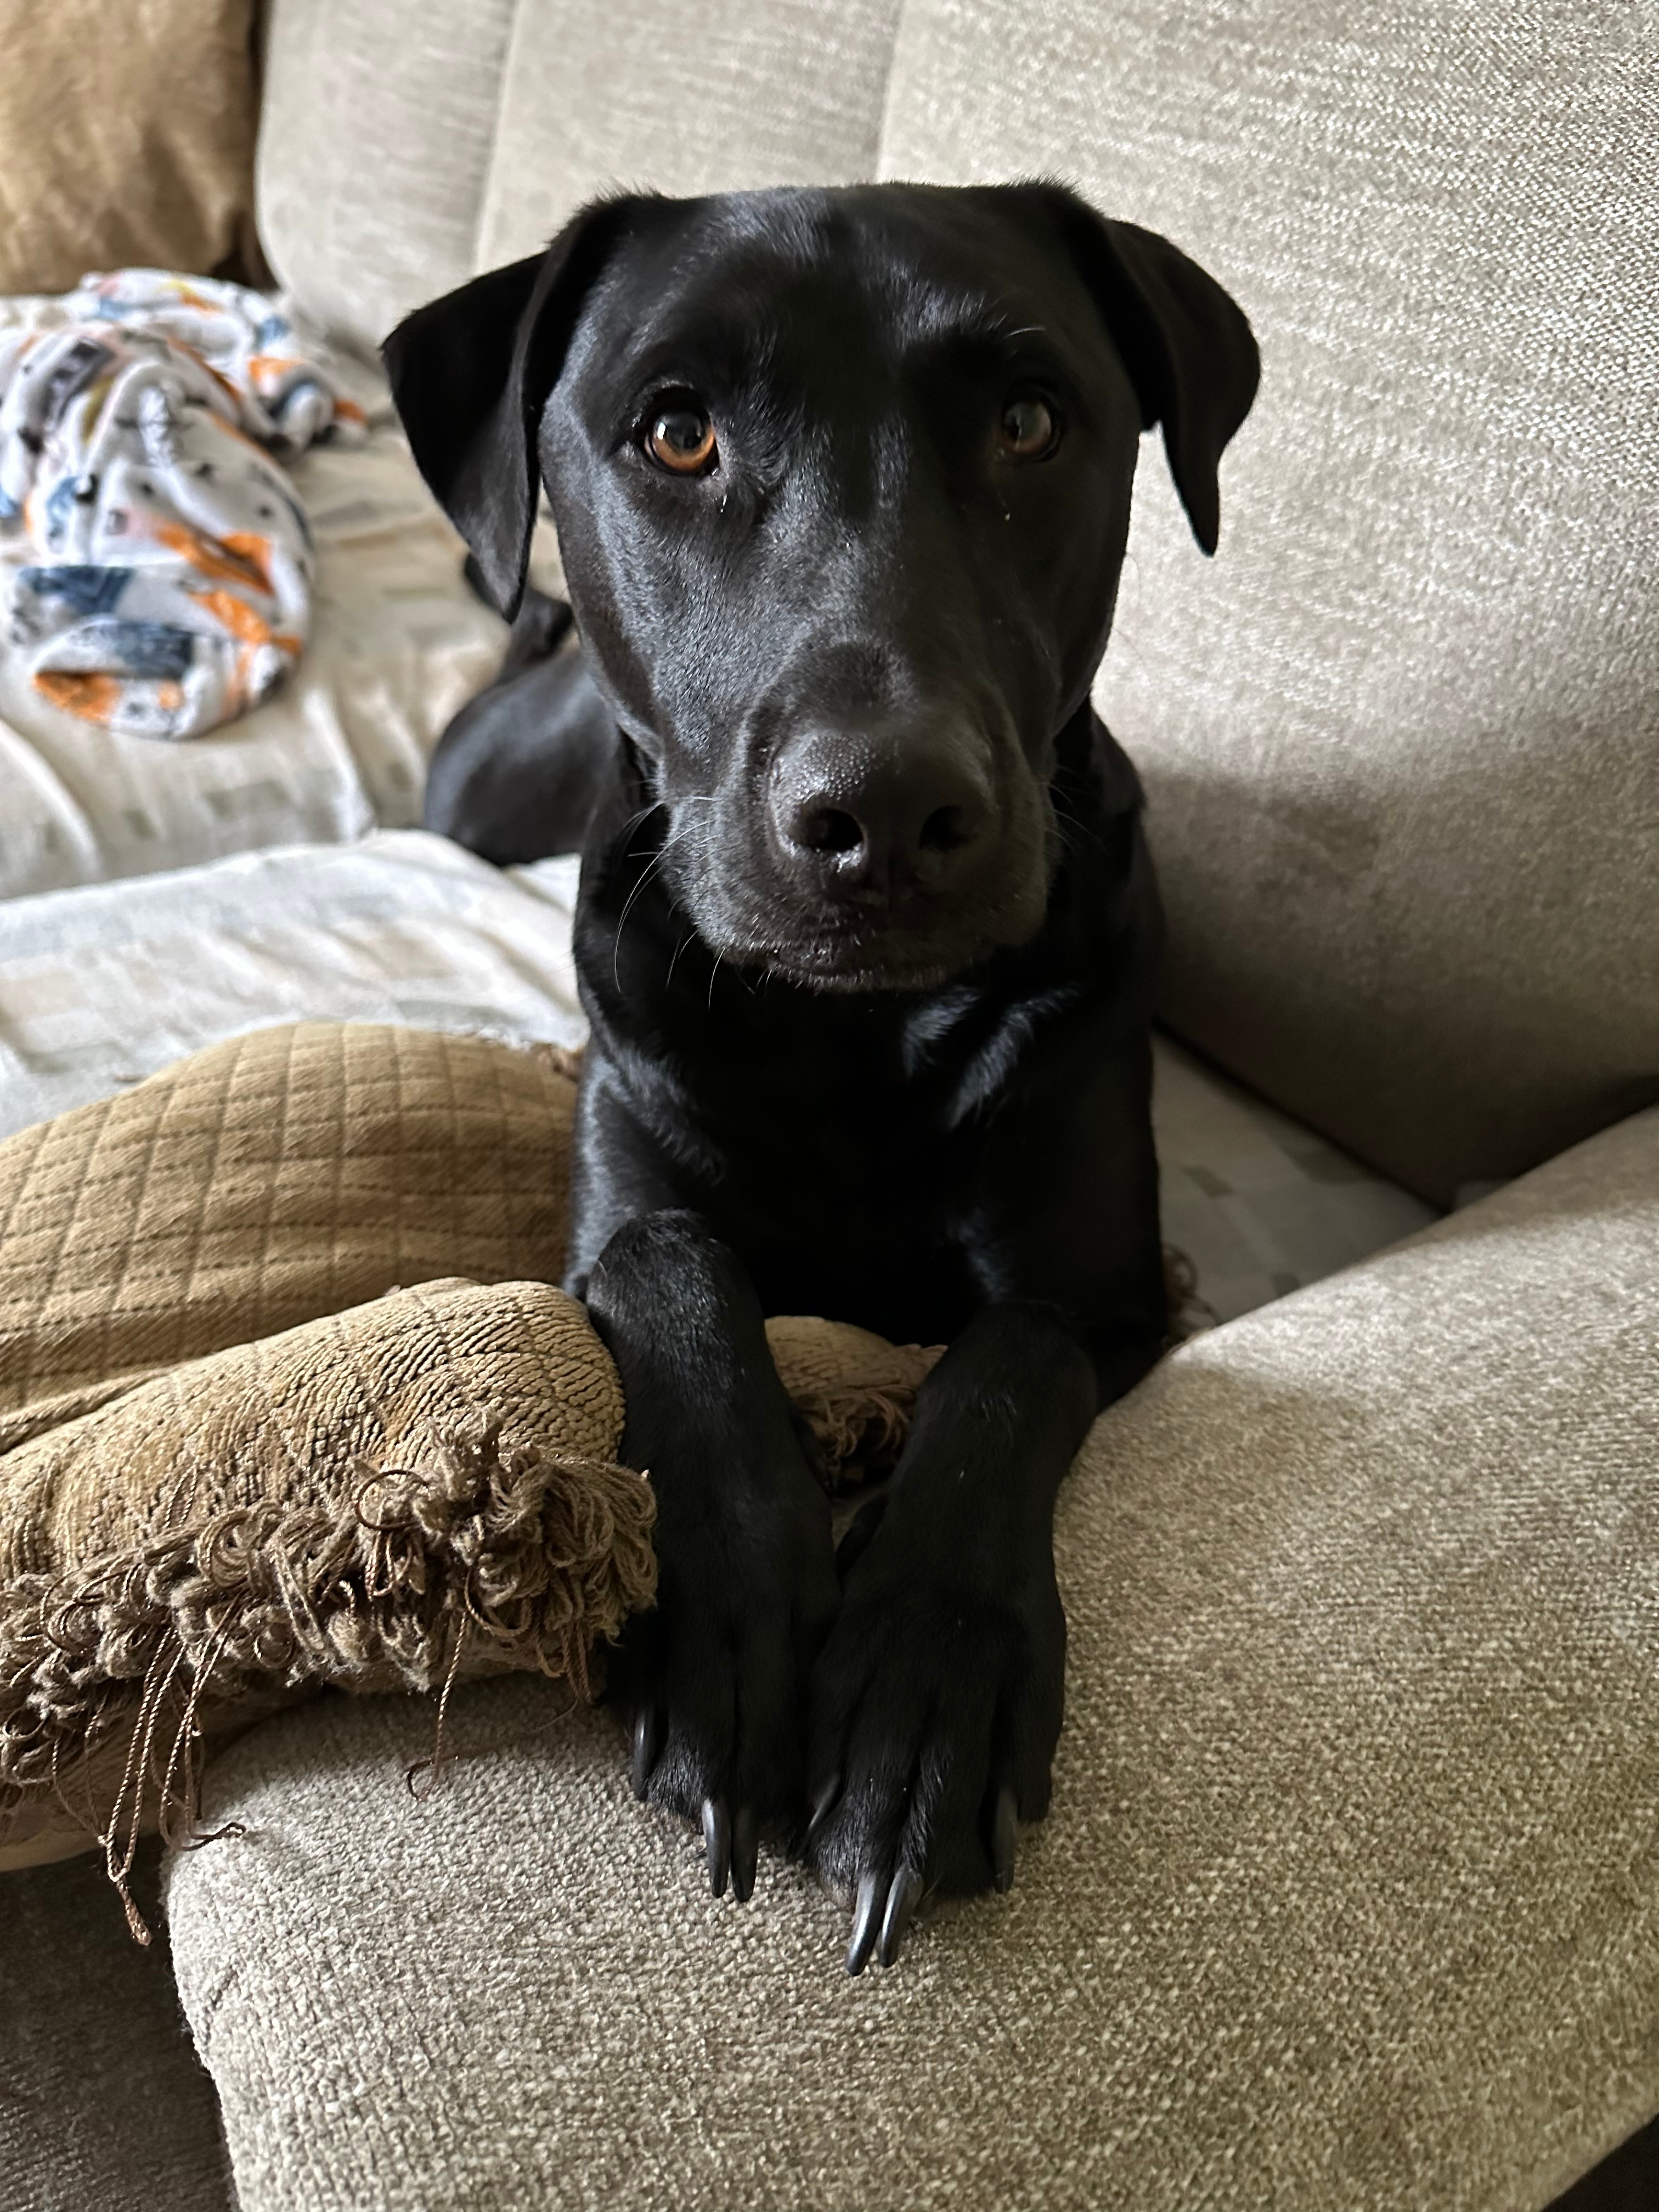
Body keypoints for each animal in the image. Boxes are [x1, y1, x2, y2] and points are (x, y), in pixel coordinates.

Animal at [382, 181, 1256, 1973]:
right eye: (678, 432)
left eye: (1028, 420)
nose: (890, 816)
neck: (855, 1036)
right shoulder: (616, 1208)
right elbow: (686, 1282)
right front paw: (729, 1631)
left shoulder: (1108, 1288)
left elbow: (1002, 1368)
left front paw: (923, 1697)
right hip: (481, 785)